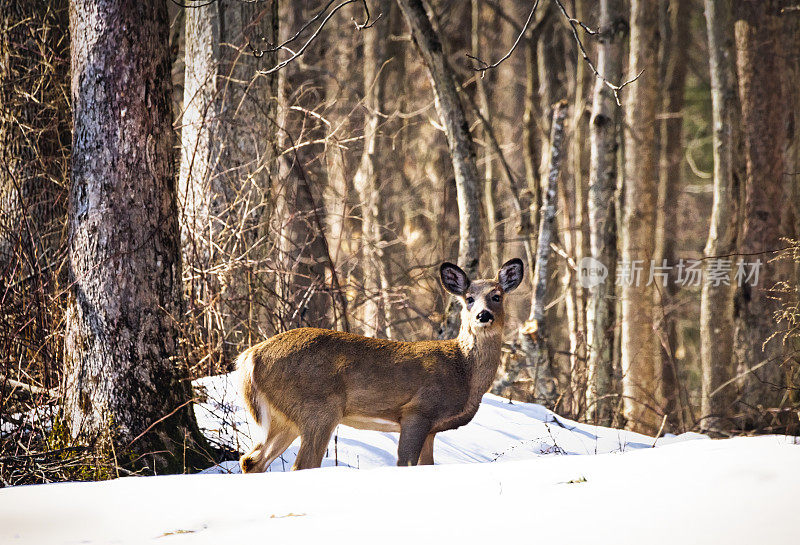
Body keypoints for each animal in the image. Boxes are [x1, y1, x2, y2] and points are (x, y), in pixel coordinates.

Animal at [236, 258, 524, 470]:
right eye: (469, 298)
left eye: (497, 296)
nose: (483, 315)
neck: (462, 368)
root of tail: (250, 357)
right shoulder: (417, 411)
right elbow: (405, 464)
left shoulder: (431, 429)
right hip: (318, 408)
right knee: (302, 465)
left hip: (283, 417)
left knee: (251, 461)